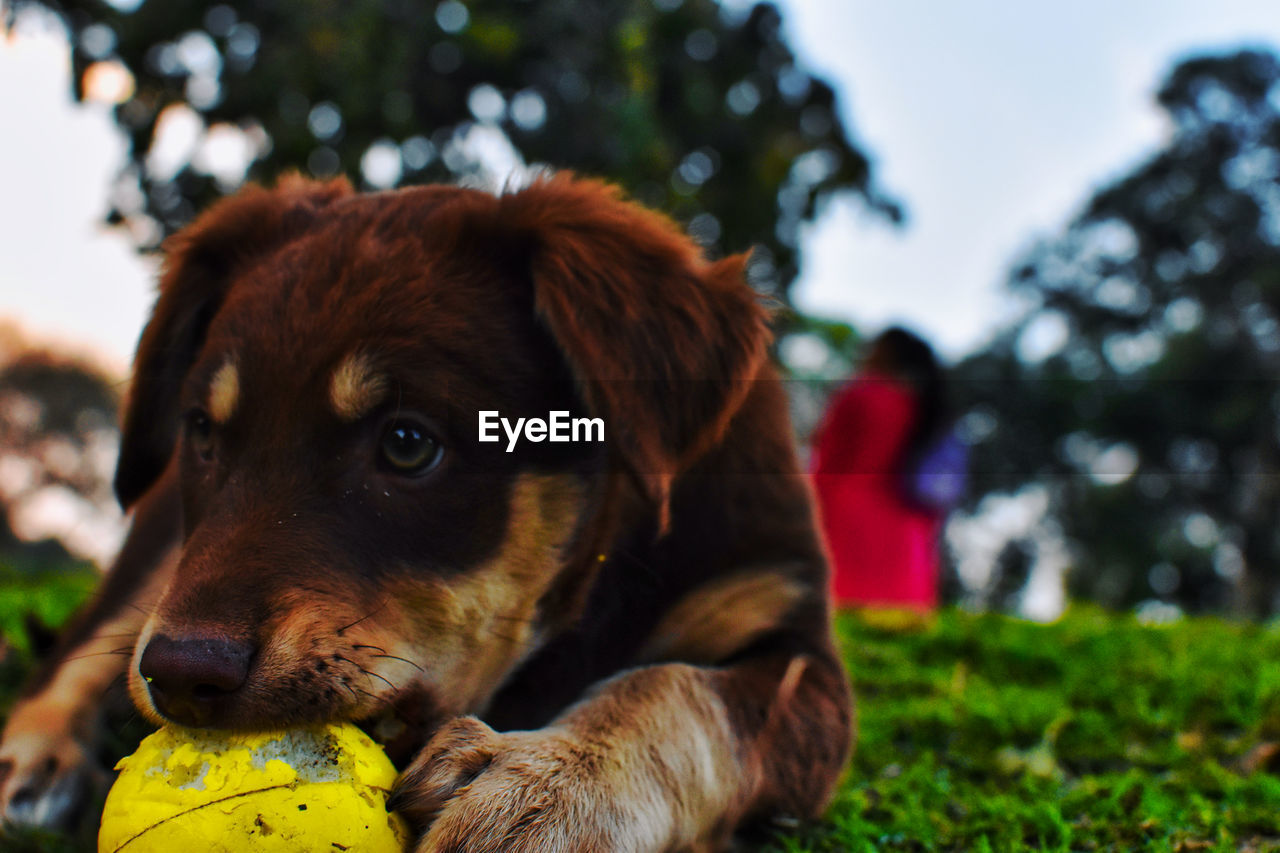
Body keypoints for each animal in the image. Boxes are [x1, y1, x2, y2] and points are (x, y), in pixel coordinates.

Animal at [2, 174, 860, 850]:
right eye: (205, 432)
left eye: (408, 443)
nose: (181, 677)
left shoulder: (799, 652)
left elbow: (677, 691)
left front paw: (546, 786)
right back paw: (35, 762)